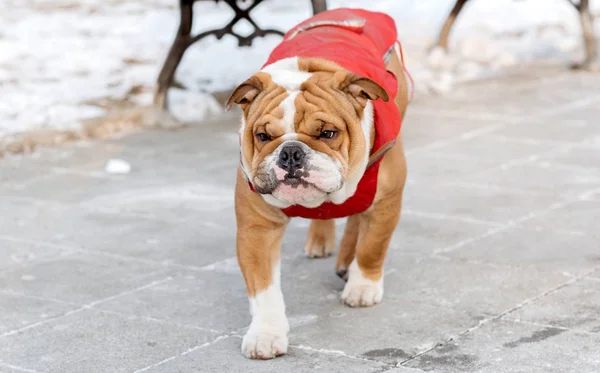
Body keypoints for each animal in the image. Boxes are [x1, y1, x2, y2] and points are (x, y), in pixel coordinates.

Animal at [226, 8, 412, 358]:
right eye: (263, 136)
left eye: (328, 133)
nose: (291, 153)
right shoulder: (257, 228)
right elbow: (264, 288)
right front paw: (266, 334)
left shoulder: (386, 200)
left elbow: (372, 246)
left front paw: (363, 286)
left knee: (356, 221)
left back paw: (347, 264)